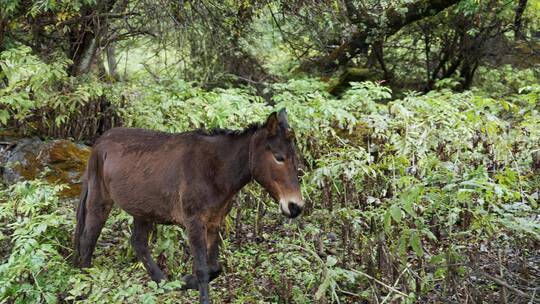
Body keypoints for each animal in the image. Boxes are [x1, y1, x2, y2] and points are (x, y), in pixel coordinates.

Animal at [71, 108, 304, 302]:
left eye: (295, 158)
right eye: (279, 158)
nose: (296, 207)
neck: (215, 169)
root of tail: (100, 141)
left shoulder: (214, 222)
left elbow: (214, 268)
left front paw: (185, 281)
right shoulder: (194, 222)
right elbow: (202, 269)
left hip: (143, 210)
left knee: (138, 243)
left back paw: (164, 283)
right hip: (100, 200)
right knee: (88, 238)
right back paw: (85, 282)